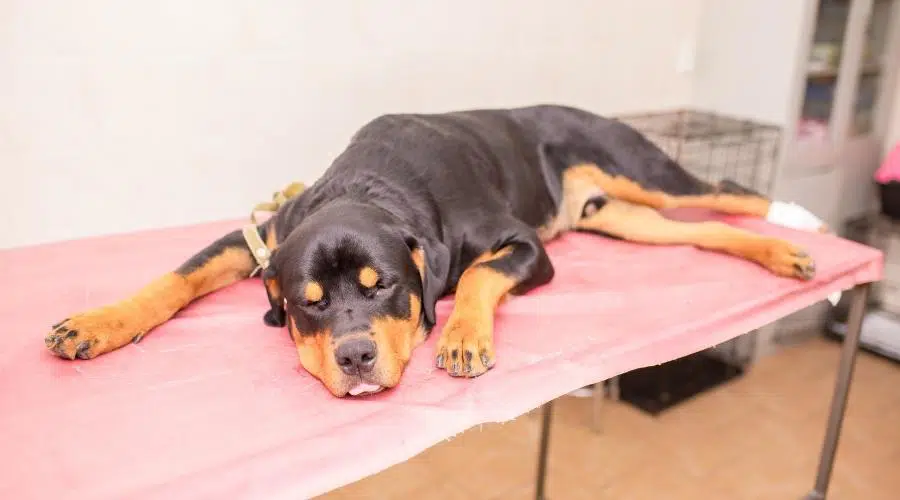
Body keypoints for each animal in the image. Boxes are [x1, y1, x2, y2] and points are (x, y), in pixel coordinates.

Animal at [42, 103, 820, 396]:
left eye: (382, 284)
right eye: (307, 304)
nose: (356, 357)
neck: (367, 184)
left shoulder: (524, 246)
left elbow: (473, 278)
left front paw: (462, 338)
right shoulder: (258, 237)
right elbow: (175, 278)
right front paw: (96, 324)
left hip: (632, 165)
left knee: (725, 190)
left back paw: (800, 218)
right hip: (625, 217)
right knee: (704, 226)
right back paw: (781, 253)